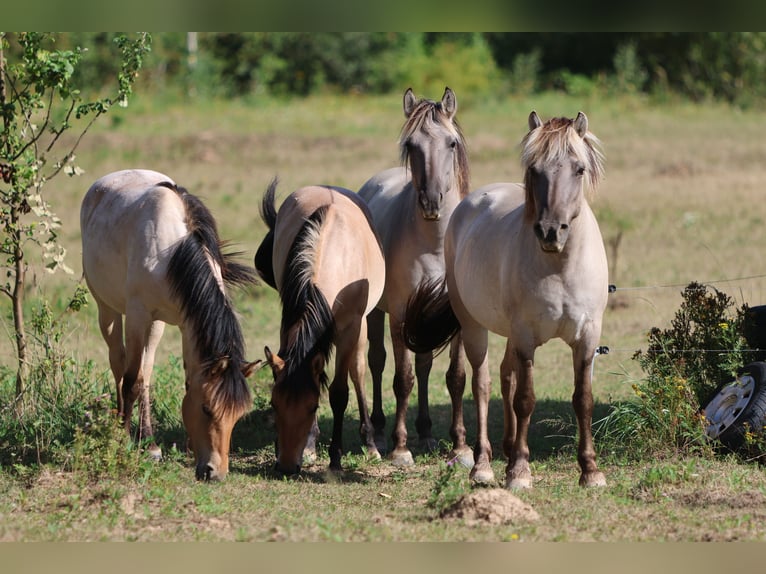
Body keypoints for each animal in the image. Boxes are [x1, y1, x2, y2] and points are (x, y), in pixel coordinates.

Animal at [80, 169, 258, 481]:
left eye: (238, 415)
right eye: (207, 408)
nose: (216, 472)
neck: (171, 253)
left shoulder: (186, 324)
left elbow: (181, 380)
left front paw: (186, 448)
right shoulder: (137, 316)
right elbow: (130, 381)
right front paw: (124, 441)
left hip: (157, 325)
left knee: (146, 374)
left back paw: (150, 443)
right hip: (108, 311)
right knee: (119, 364)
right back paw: (121, 427)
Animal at [254, 180, 386, 474]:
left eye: (313, 406)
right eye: (274, 404)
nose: (287, 466)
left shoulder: (350, 329)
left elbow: (339, 393)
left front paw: (335, 459)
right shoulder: (289, 321)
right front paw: (309, 447)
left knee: (358, 372)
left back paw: (371, 445)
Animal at [357, 87, 471, 467]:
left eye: (451, 143)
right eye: (411, 144)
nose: (432, 202)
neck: (435, 243)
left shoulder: (458, 317)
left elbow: (455, 377)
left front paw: (460, 446)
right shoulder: (400, 315)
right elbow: (402, 378)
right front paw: (400, 449)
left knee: (423, 365)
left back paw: (426, 432)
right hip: (377, 314)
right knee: (377, 362)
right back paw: (378, 431)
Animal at [403, 111, 608, 488]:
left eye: (579, 169)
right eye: (534, 170)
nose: (551, 231)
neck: (559, 266)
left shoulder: (587, 337)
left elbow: (582, 399)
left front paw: (590, 470)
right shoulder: (526, 337)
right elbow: (525, 399)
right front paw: (519, 471)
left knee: (504, 376)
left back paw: (508, 446)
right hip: (473, 327)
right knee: (482, 385)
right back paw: (482, 465)